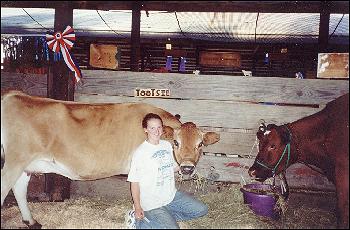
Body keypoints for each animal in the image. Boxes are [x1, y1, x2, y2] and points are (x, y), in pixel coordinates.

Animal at [1, 90, 220, 228]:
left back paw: (31, 221)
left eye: (200, 144)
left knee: (19, 189)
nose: (187, 168)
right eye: (176, 142)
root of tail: (15, 95)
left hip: (26, 165)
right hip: (14, 161)